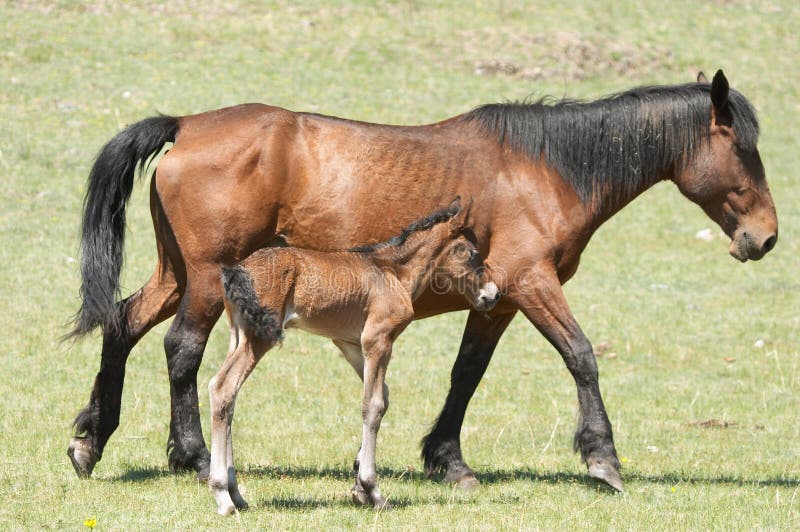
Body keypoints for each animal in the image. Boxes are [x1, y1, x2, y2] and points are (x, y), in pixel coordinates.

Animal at [208, 199, 499, 514]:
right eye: (470, 252)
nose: (493, 295)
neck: (393, 271)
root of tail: (236, 271)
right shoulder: (378, 339)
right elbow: (374, 405)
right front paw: (374, 491)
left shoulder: (350, 343)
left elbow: (382, 395)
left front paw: (359, 486)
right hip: (259, 337)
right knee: (223, 388)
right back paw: (223, 495)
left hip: (238, 334)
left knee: (225, 394)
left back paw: (236, 494)